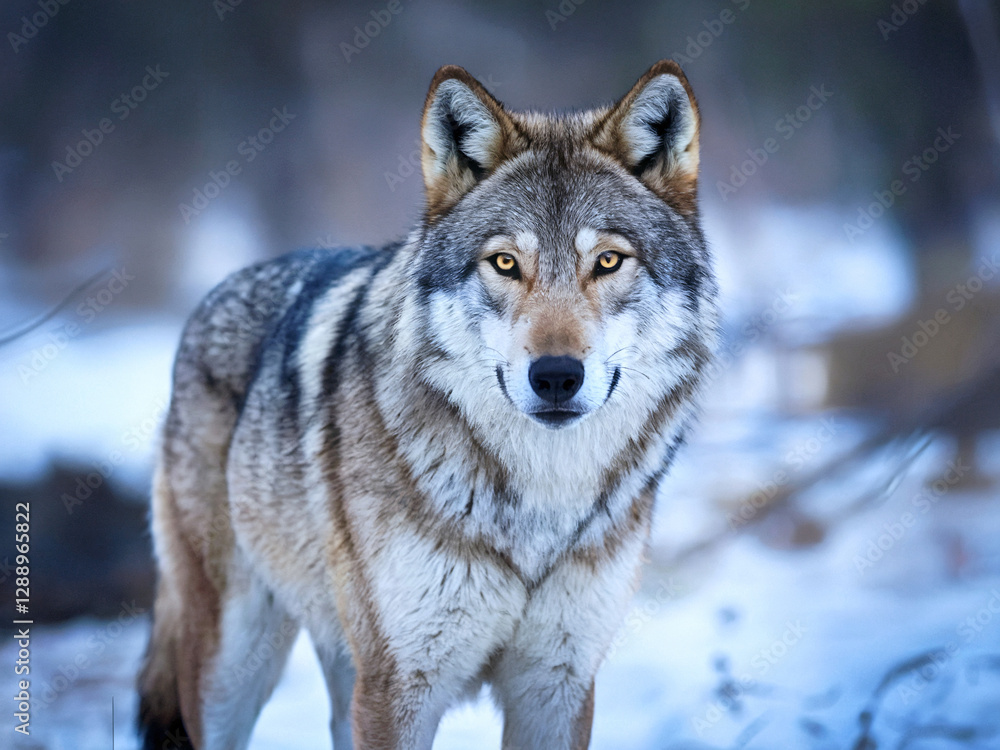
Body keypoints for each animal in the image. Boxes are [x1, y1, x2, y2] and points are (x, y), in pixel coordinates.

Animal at [137, 59, 717, 750]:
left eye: (607, 261)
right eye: (504, 262)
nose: (555, 377)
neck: (541, 504)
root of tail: (214, 292)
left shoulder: (558, 684)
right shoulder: (399, 688)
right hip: (237, 667)